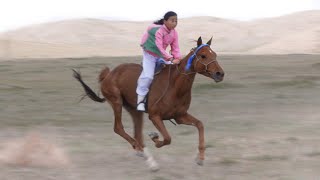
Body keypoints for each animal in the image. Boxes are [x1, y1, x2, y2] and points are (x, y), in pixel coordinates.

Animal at [73, 36, 224, 170]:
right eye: (203, 56)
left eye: (215, 54)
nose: (220, 74)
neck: (175, 87)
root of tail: (108, 74)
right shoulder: (155, 116)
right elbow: (167, 138)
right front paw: (155, 138)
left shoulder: (179, 116)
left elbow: (200, 125)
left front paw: (200, 158)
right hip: (116, 101)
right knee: (119, 128)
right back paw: (143, 153)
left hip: (134, 110)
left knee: (137, 134)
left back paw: (149, 160)